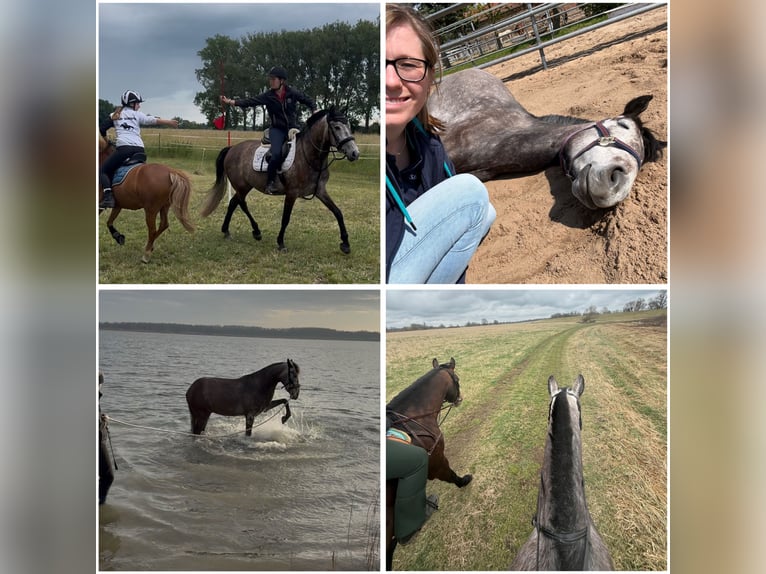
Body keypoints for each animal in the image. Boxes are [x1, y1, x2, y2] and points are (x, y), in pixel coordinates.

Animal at [200, 106, 360, 253]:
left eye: (349, 126)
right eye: (337, 127)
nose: (354, 153)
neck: (309, 156)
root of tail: (232, 148)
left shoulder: (320, 191)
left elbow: (338, 212)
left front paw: (345, 243)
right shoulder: (292, 193)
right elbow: (286, 218)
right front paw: (281, 243)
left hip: (245, 186)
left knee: (233, 203)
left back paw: (227, 231)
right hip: (241, 186)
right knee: (241, 204)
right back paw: (256, 231)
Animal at [385, 357, 472, 570]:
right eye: (457, 379)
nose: (460, 398)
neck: (415, 417)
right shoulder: (437, 462)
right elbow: (451, 475)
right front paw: (464, 481)